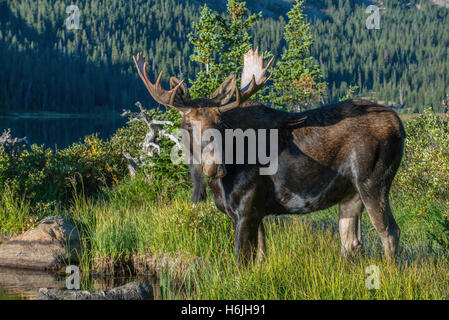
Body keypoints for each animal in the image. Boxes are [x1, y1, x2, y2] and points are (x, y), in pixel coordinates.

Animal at [131, 48, 404, 264]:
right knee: (352, 243)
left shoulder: (246, 209)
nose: (214, 166)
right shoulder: (257, 211)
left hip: (373, 183)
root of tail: (400, 124)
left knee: (389, 232)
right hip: (349, 195)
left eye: (220, 122)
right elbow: (261, 257)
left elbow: (242, 262)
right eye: (187, 124)